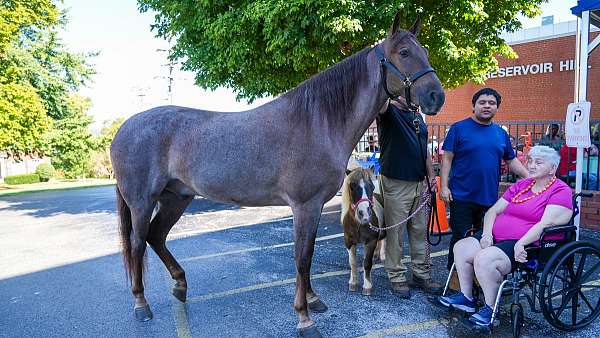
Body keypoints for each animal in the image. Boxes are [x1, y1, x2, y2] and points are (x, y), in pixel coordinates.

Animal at [110, 11, 442, 336]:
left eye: (425, 51)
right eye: (403, 52)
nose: (436, 96)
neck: (318, 121)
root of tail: (123, 130)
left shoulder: (314, 207)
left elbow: (307, 255)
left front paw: (313, 300)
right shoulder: (305, 205)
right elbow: (302, 258)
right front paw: (304, 318)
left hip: (176, 198)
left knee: (156, 236)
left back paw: (180, 285)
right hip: (142, 202)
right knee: (138, 243)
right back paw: (141, 304)